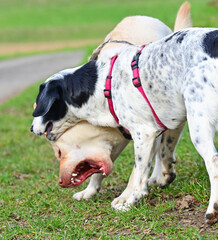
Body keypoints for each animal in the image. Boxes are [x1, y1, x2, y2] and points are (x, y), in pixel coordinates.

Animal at [31, 28, 218, 225]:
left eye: (37, 105)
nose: (31, 128)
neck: (101, 84)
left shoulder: (144, 134)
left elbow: (139, 175)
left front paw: (130, 201)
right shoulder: (161, 128)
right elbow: (159, 156)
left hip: (198, 124)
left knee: (213, 162)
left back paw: (212, 210)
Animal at [46, 2, 192, 200]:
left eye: (59, 153)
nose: (60, 182)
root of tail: (139, 16)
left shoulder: (154, 127)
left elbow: (149, 160)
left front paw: (130, 194)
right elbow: (101, 172)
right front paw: (89, 191)